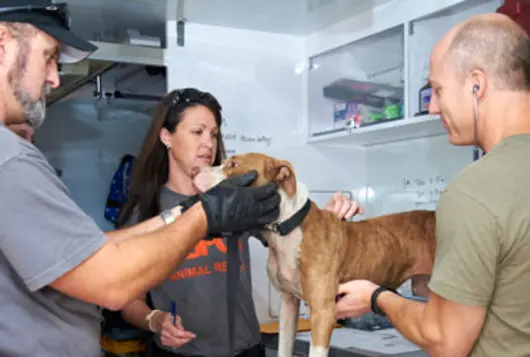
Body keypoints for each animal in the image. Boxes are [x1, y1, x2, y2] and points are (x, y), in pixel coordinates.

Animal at [193, 154, 434, 357]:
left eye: (233, 164)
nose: (196, 171)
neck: (286, 230)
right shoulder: (288, 305)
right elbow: (284, 348)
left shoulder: (323, 313)